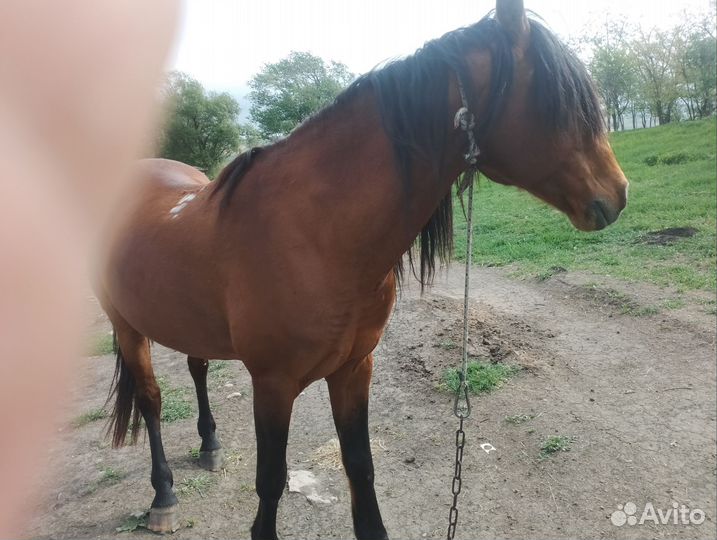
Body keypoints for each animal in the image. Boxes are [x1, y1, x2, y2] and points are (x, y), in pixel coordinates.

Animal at [97, 1, 628, 538]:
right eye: (556, 100)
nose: (618, 193)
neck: (317, 233)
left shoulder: (354, 369)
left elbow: (360, 467)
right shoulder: (272, 385)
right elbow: (270, 482)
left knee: (197, 367)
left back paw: (210, 446)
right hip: (127, 327)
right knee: (151, 400)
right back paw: (163, 496)